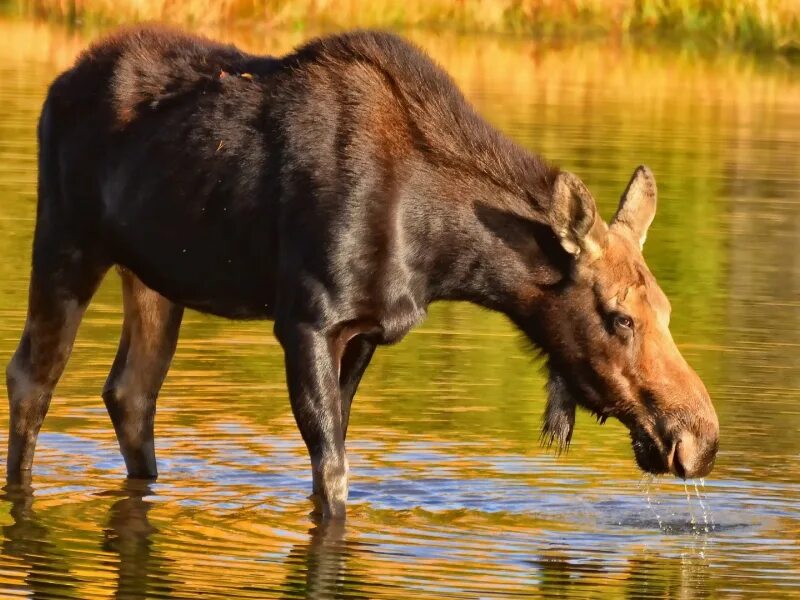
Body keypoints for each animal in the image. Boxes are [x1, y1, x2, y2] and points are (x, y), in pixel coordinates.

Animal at [4, 28, 720, 516]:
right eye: (619, 317)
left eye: (667, 311)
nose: (701, 441)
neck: (442, 251)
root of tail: (57, 88)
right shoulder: (308, 320)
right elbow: (333, 479)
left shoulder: (369, 330)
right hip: (67, 240)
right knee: (33, 376)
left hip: (155, 276)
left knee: (130, 392)